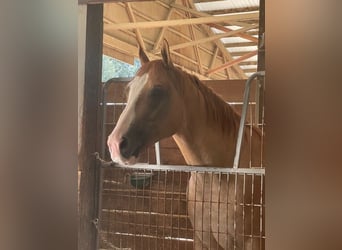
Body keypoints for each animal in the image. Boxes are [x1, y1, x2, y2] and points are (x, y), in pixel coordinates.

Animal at [108, 40, 264, 249]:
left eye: (157, 90)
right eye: (127, 91)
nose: (115, 144)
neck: (220, 176)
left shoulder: (253, 242)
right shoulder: (203, 239)